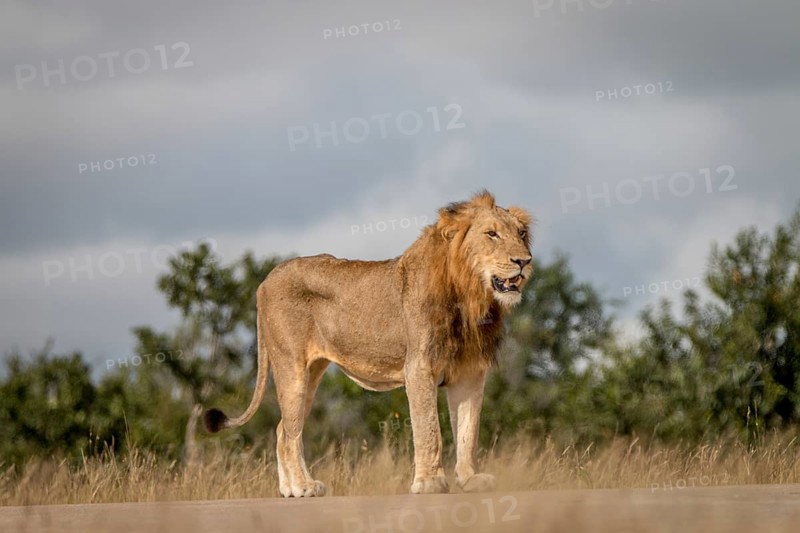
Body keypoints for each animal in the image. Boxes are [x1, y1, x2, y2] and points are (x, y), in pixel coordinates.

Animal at [204, 190, 533, 497]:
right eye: (491, 234)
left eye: (521, 234)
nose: (524, 261)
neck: (472, 296)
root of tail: (265, 281)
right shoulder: (419, 366)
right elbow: (429, 428)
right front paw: (429, 482)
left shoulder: (469, 372)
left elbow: (468, 429)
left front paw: (469, 479)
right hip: (291, 366)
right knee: (289, 434)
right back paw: (305, 486)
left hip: (311, 372)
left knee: (283, 427)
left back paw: (290, 489)